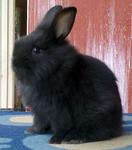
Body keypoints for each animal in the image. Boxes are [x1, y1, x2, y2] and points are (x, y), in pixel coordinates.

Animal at [12, 5, 122, 144]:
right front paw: (32, 131)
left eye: (36, 50)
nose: (14, 63)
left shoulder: (59, 108)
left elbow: (61, 125)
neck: (55, 68)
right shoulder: (40, 111)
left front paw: (55, 140)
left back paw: (75, 138)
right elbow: (39, 122)